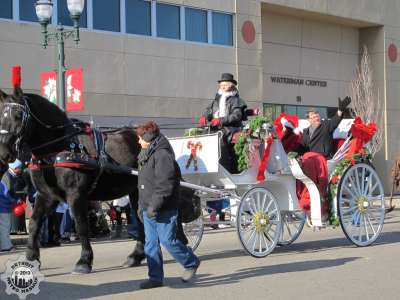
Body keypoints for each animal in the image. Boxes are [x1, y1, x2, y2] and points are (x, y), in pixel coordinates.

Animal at [0, 86, 184, 274]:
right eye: (1, 115)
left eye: (18, 115)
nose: (4, 153)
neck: (58, 150)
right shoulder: (47, 195)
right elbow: (34, 223)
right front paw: (31, 258)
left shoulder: (76, 195)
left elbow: (82, 225)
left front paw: (84, 261)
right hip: (137, 192)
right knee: (141, 220)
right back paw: (137, 256)